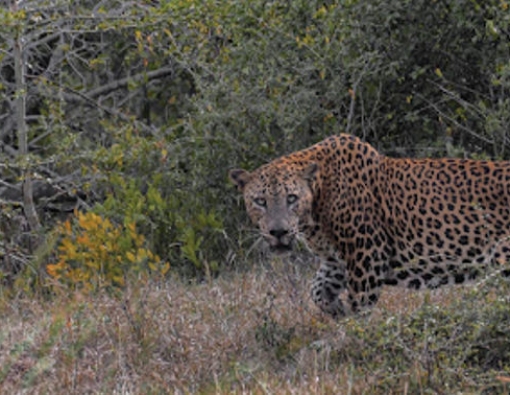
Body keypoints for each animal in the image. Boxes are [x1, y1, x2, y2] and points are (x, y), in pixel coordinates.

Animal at [229, 134, 510, 318]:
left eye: (291, 198)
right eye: (260, 201)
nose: (278, 232)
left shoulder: (367, 256)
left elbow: (359, 306)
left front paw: (351, 336)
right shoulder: (336, 260)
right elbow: (316, 289)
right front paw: (335, 310)